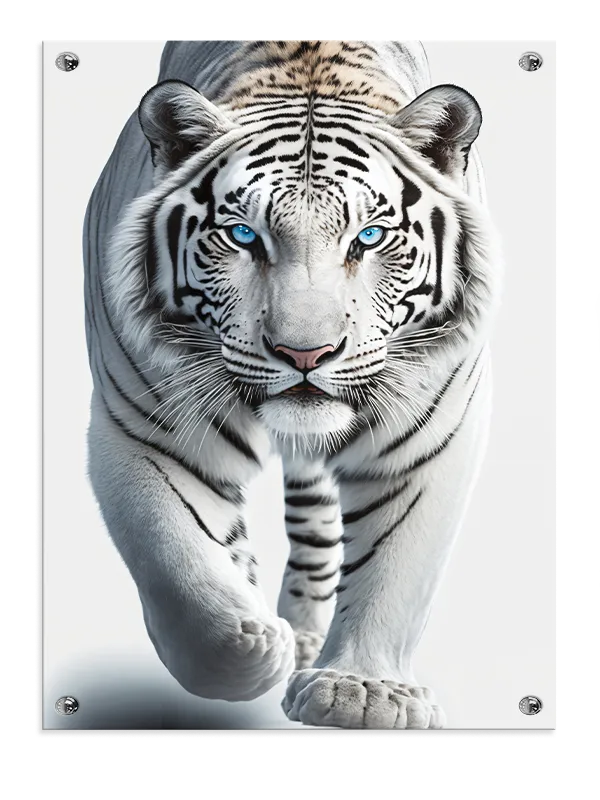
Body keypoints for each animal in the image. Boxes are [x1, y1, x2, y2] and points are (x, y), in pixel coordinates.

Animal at [84, 40, 500, 730]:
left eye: (370, 237)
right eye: (243, 236)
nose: (305, 353)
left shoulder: (426, 438)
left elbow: (393, 570)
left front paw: (362, 692)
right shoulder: (145, 428)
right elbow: (171, 553)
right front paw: (247, 650)